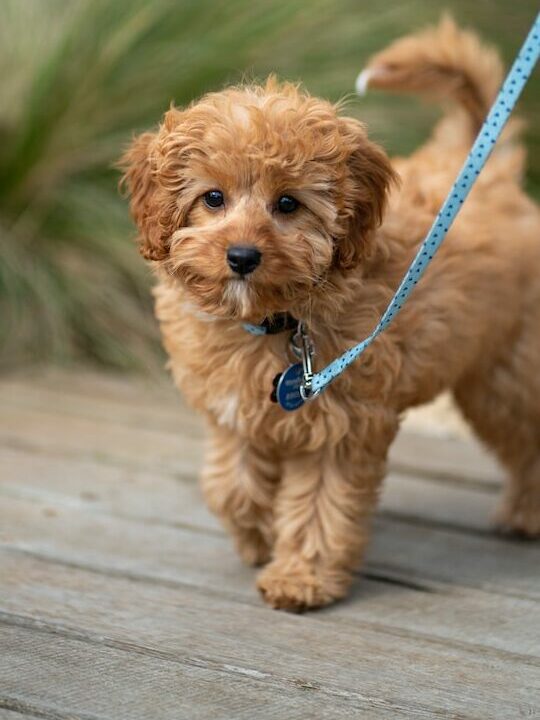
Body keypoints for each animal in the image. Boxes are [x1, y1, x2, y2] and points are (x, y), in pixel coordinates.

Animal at [121, 18, 540, 608]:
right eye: (213, 198)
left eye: (288, 204)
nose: (242, 256)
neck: (274, 320)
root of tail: (489, 172)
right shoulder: (234, 413)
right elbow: (232, 487)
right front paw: (258, 536)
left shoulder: (342, 425)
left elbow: (320, 506)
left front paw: (301, 577)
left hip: (502, 375)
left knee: (527, 437)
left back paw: (525, 513)